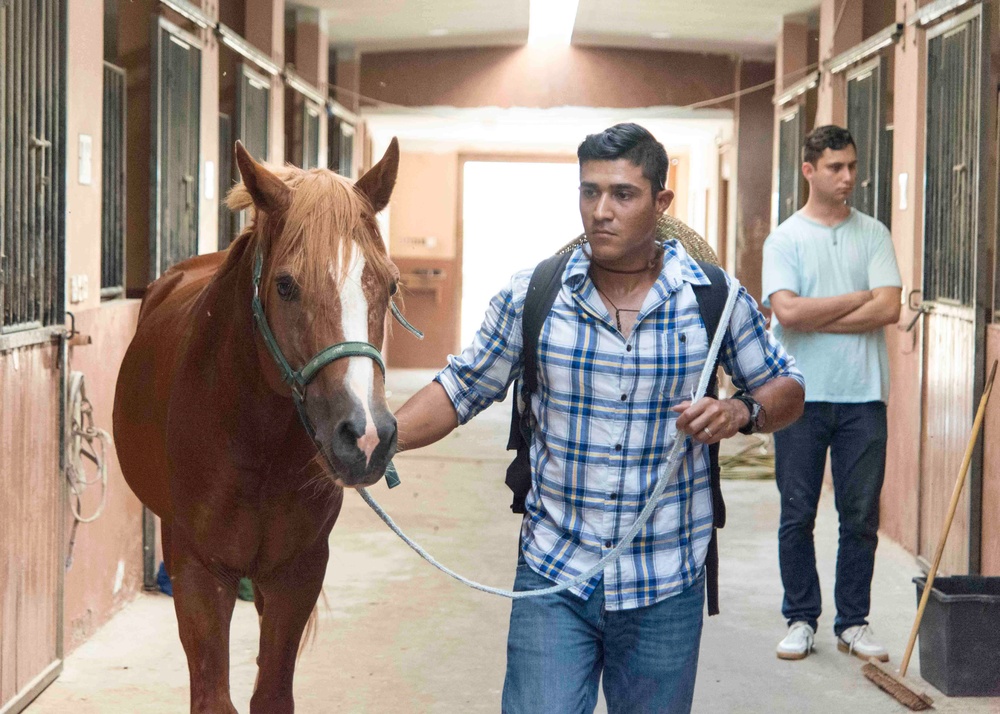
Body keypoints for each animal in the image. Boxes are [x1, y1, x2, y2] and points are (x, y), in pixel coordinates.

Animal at [114, 140, 402, 712]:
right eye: (286, 286)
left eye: (390, 283)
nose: (366, 437)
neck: (255, 445)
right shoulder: (200, 574)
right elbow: (213, 696)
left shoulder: (298, 573)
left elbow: (272, 692)